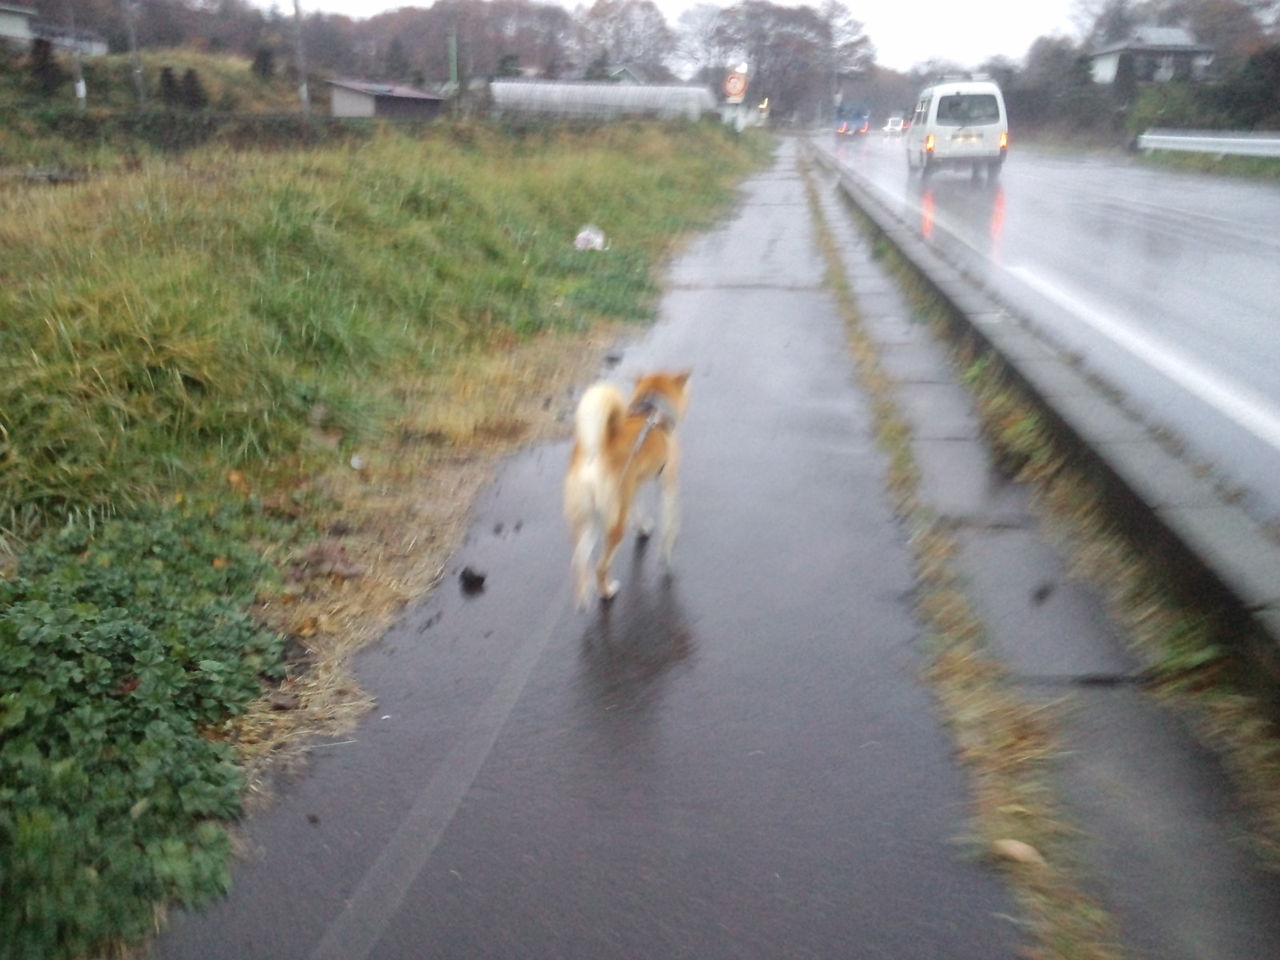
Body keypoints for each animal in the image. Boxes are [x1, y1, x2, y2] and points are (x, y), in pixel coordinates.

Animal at [564, 371, 691, 609]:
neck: (652, 410)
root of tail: (595, 453)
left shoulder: (633, 488)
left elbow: (639, 513)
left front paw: (643, 529)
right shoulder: (668, 484)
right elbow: (670, 522)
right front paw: (667, 555)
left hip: (592, 519)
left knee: (579, 560)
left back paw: (583, 596)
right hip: (614, 525)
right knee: (600, 566)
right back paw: (607, 592)